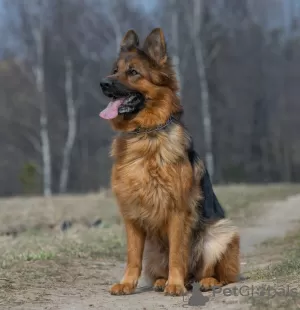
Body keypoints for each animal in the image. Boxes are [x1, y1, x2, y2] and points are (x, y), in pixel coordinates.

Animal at [99, 28, 240, 296]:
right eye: (114, 70)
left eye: (133, 72)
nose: (103, 83)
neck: (145, 134)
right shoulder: (132, 215)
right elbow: (132, 257)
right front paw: (127, 283)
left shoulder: (177, 211)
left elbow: (177, 253)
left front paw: (175, 285)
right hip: (154, 250)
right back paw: (162, 280)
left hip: (220, 234)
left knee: (218, 274)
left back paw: (202, 281)